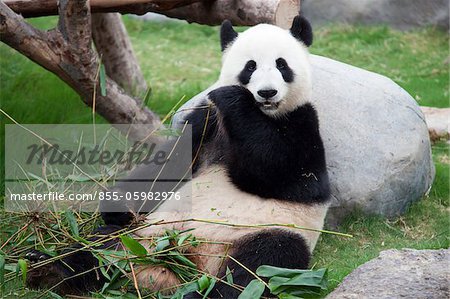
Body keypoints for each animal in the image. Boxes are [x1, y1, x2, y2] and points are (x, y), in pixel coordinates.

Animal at [27, 14, 330, 299]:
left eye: (282, 65)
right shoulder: (206, 123)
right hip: (142, 236)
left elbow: (282, 173)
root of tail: (179, 269)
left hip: (264, 234)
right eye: (250, 66)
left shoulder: (302, 124)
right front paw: (118, 205)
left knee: (260, 265)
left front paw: (233, 98)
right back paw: (50, 268)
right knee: (101, 247)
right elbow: (171, 162)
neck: (264, 115)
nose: (267, 92)